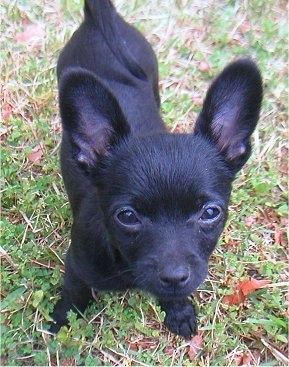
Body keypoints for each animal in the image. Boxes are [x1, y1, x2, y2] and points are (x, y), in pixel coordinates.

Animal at [50, 0, 262, 340]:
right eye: (127, 216)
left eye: (210, 213)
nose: (174, 275)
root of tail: (99, 17)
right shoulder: (76, 266)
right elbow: (73, 294)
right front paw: (62, 320)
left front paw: (177, 310)